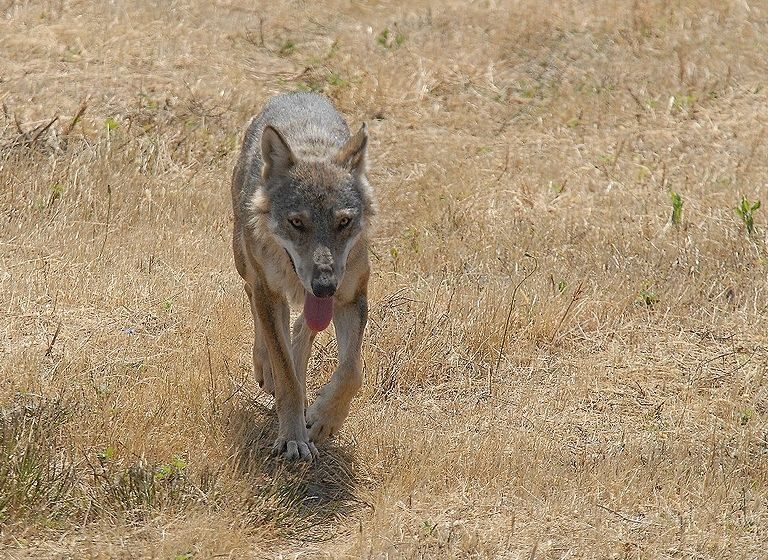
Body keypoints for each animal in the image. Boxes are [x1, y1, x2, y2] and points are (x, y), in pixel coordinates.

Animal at [231, 93, 376, 460]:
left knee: (301, 329)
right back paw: (265, 368)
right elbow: (286, 377)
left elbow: (352, 371)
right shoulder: (268, 291)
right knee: (256, 305)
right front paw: (293, 438)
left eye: (343, 222)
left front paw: (324, 420)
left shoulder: (351, 296)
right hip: (247, 267)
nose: (324, 286)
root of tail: (296, 93)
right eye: (297, 222)